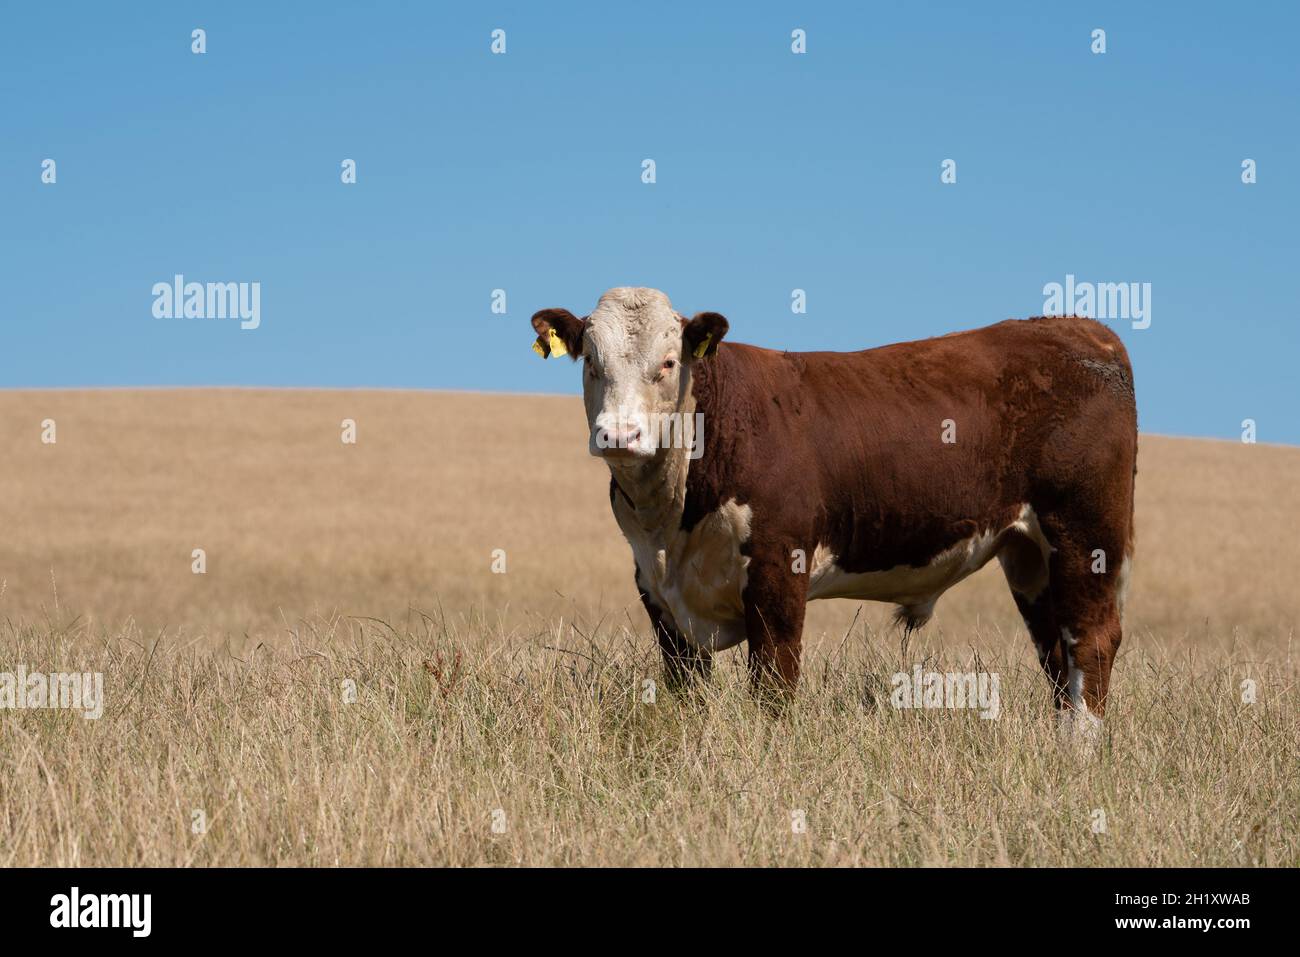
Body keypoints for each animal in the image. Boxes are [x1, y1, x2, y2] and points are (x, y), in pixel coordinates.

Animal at [530, 286, 1138, 733]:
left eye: (669, 361)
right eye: (590, 361)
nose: (619, 434)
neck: (674, 518)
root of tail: (1083, 330)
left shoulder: (778, 568)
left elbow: (774, 683)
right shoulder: (656, 588)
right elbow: (685, 687)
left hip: (1085, 533)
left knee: (1092, 640)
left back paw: (1080, 750)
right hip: (1029, 553)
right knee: (1057, 651)